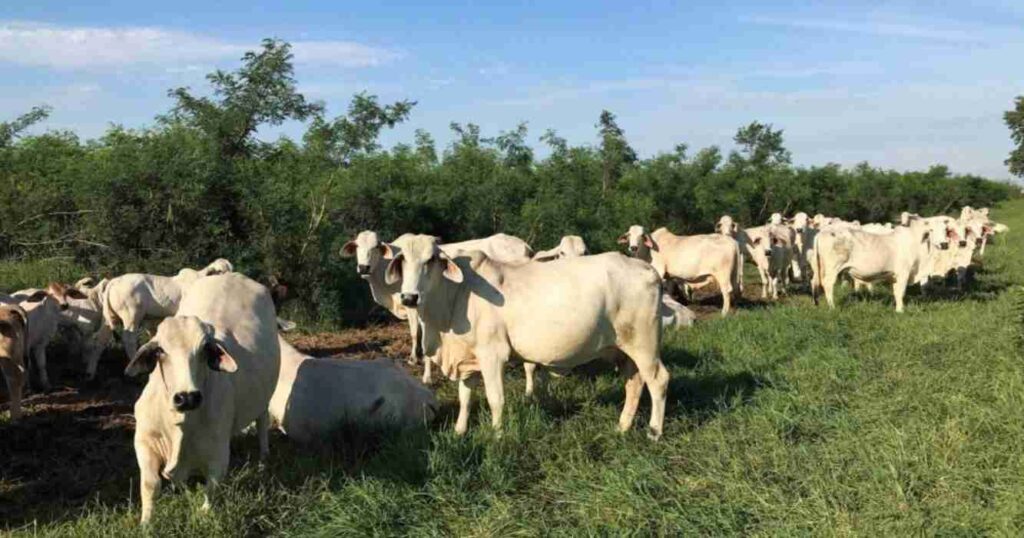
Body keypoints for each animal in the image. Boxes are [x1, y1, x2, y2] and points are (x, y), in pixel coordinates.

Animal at [125, 272, 282, 520]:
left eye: (205, 349)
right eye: (160, 350)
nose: (187, 397)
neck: (180, 424)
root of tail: (234, 275)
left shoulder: (218, 453)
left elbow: (211, 490)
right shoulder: (145, 441)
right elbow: (150, 485)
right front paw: (146, 522)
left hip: (264, 400)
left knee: (262, 423)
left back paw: (264, 458)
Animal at [387, 235, 667, 440]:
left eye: (431, 259)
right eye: (402, 260)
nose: (409, 297)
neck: (455, 295)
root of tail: (648, 269)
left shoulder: (492, 354)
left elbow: (495, 399)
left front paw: (497, 435)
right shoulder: (468, 358)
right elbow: (465, 398)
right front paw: (459, 431)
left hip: (644, 344)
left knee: (658, 380)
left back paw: (654, 432)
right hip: (622, 349)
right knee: (634, 382)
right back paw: (623, 426)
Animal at [811, 217, 954, 311]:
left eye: (945, 230)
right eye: (931, 230)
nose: (944, 244)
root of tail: (822, 233)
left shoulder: (895, 276)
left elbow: (896, 292)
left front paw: (898, 308)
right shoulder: (903, 272)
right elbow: (901, 292)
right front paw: (900, 311)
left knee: (814, 282)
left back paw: (816, 303)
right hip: (833, 268)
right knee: (828, 284)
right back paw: (832, 307)